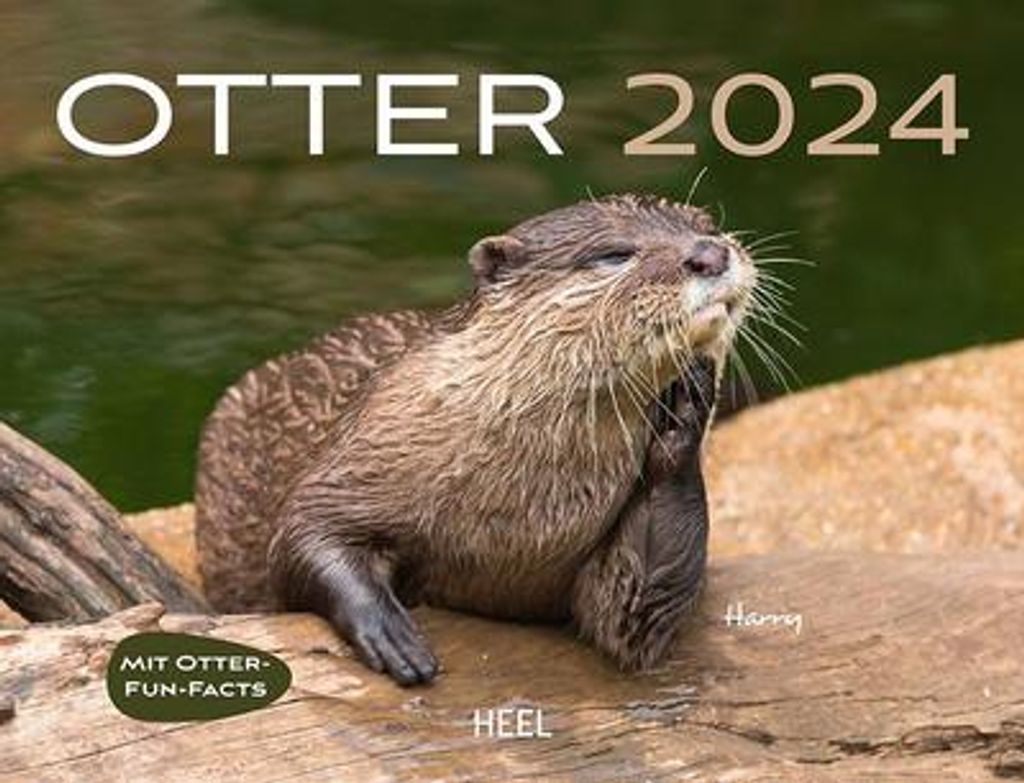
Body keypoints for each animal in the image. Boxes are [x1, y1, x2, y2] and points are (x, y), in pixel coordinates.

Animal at [195, 194, 756, 685]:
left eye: (707, 225)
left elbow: (633, 611)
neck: (524, 505)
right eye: (614, 254)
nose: (710, 253)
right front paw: (390, 633)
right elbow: (302, 535)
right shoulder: (362, 456)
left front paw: (689, 398)